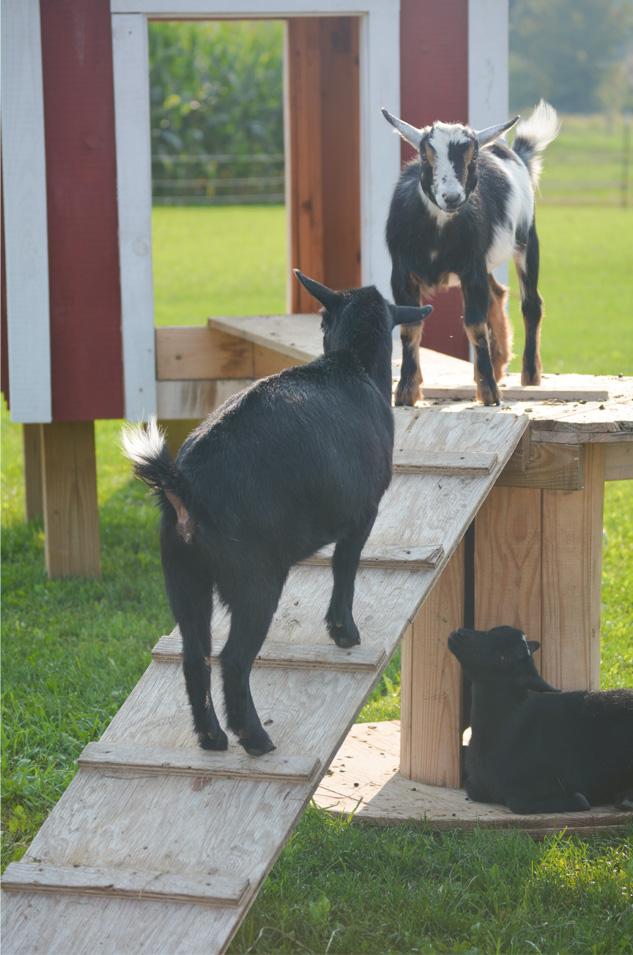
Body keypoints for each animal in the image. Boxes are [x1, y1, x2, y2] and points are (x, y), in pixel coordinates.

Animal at [121, 272, 432, 760]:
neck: (353, 365)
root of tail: (186, 484)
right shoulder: (362, 515)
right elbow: (345, 568)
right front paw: (344, 632)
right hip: (255, 579)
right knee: (233, 659)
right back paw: (255, 738)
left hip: (184, 576)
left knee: (195, 655)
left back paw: (212, 738)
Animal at [380, 99, 556, 406]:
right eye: (425, 156)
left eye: (472, 158)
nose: (451, 198)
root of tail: (516, 154)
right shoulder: (401, 273)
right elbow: (410, 327)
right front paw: (405, 392)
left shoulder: (471, 269)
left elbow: (475, 324)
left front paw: (489, 394)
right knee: (497, 293)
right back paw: (498, 364)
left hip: (526, 241)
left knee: (531, 303)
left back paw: (530, 375)